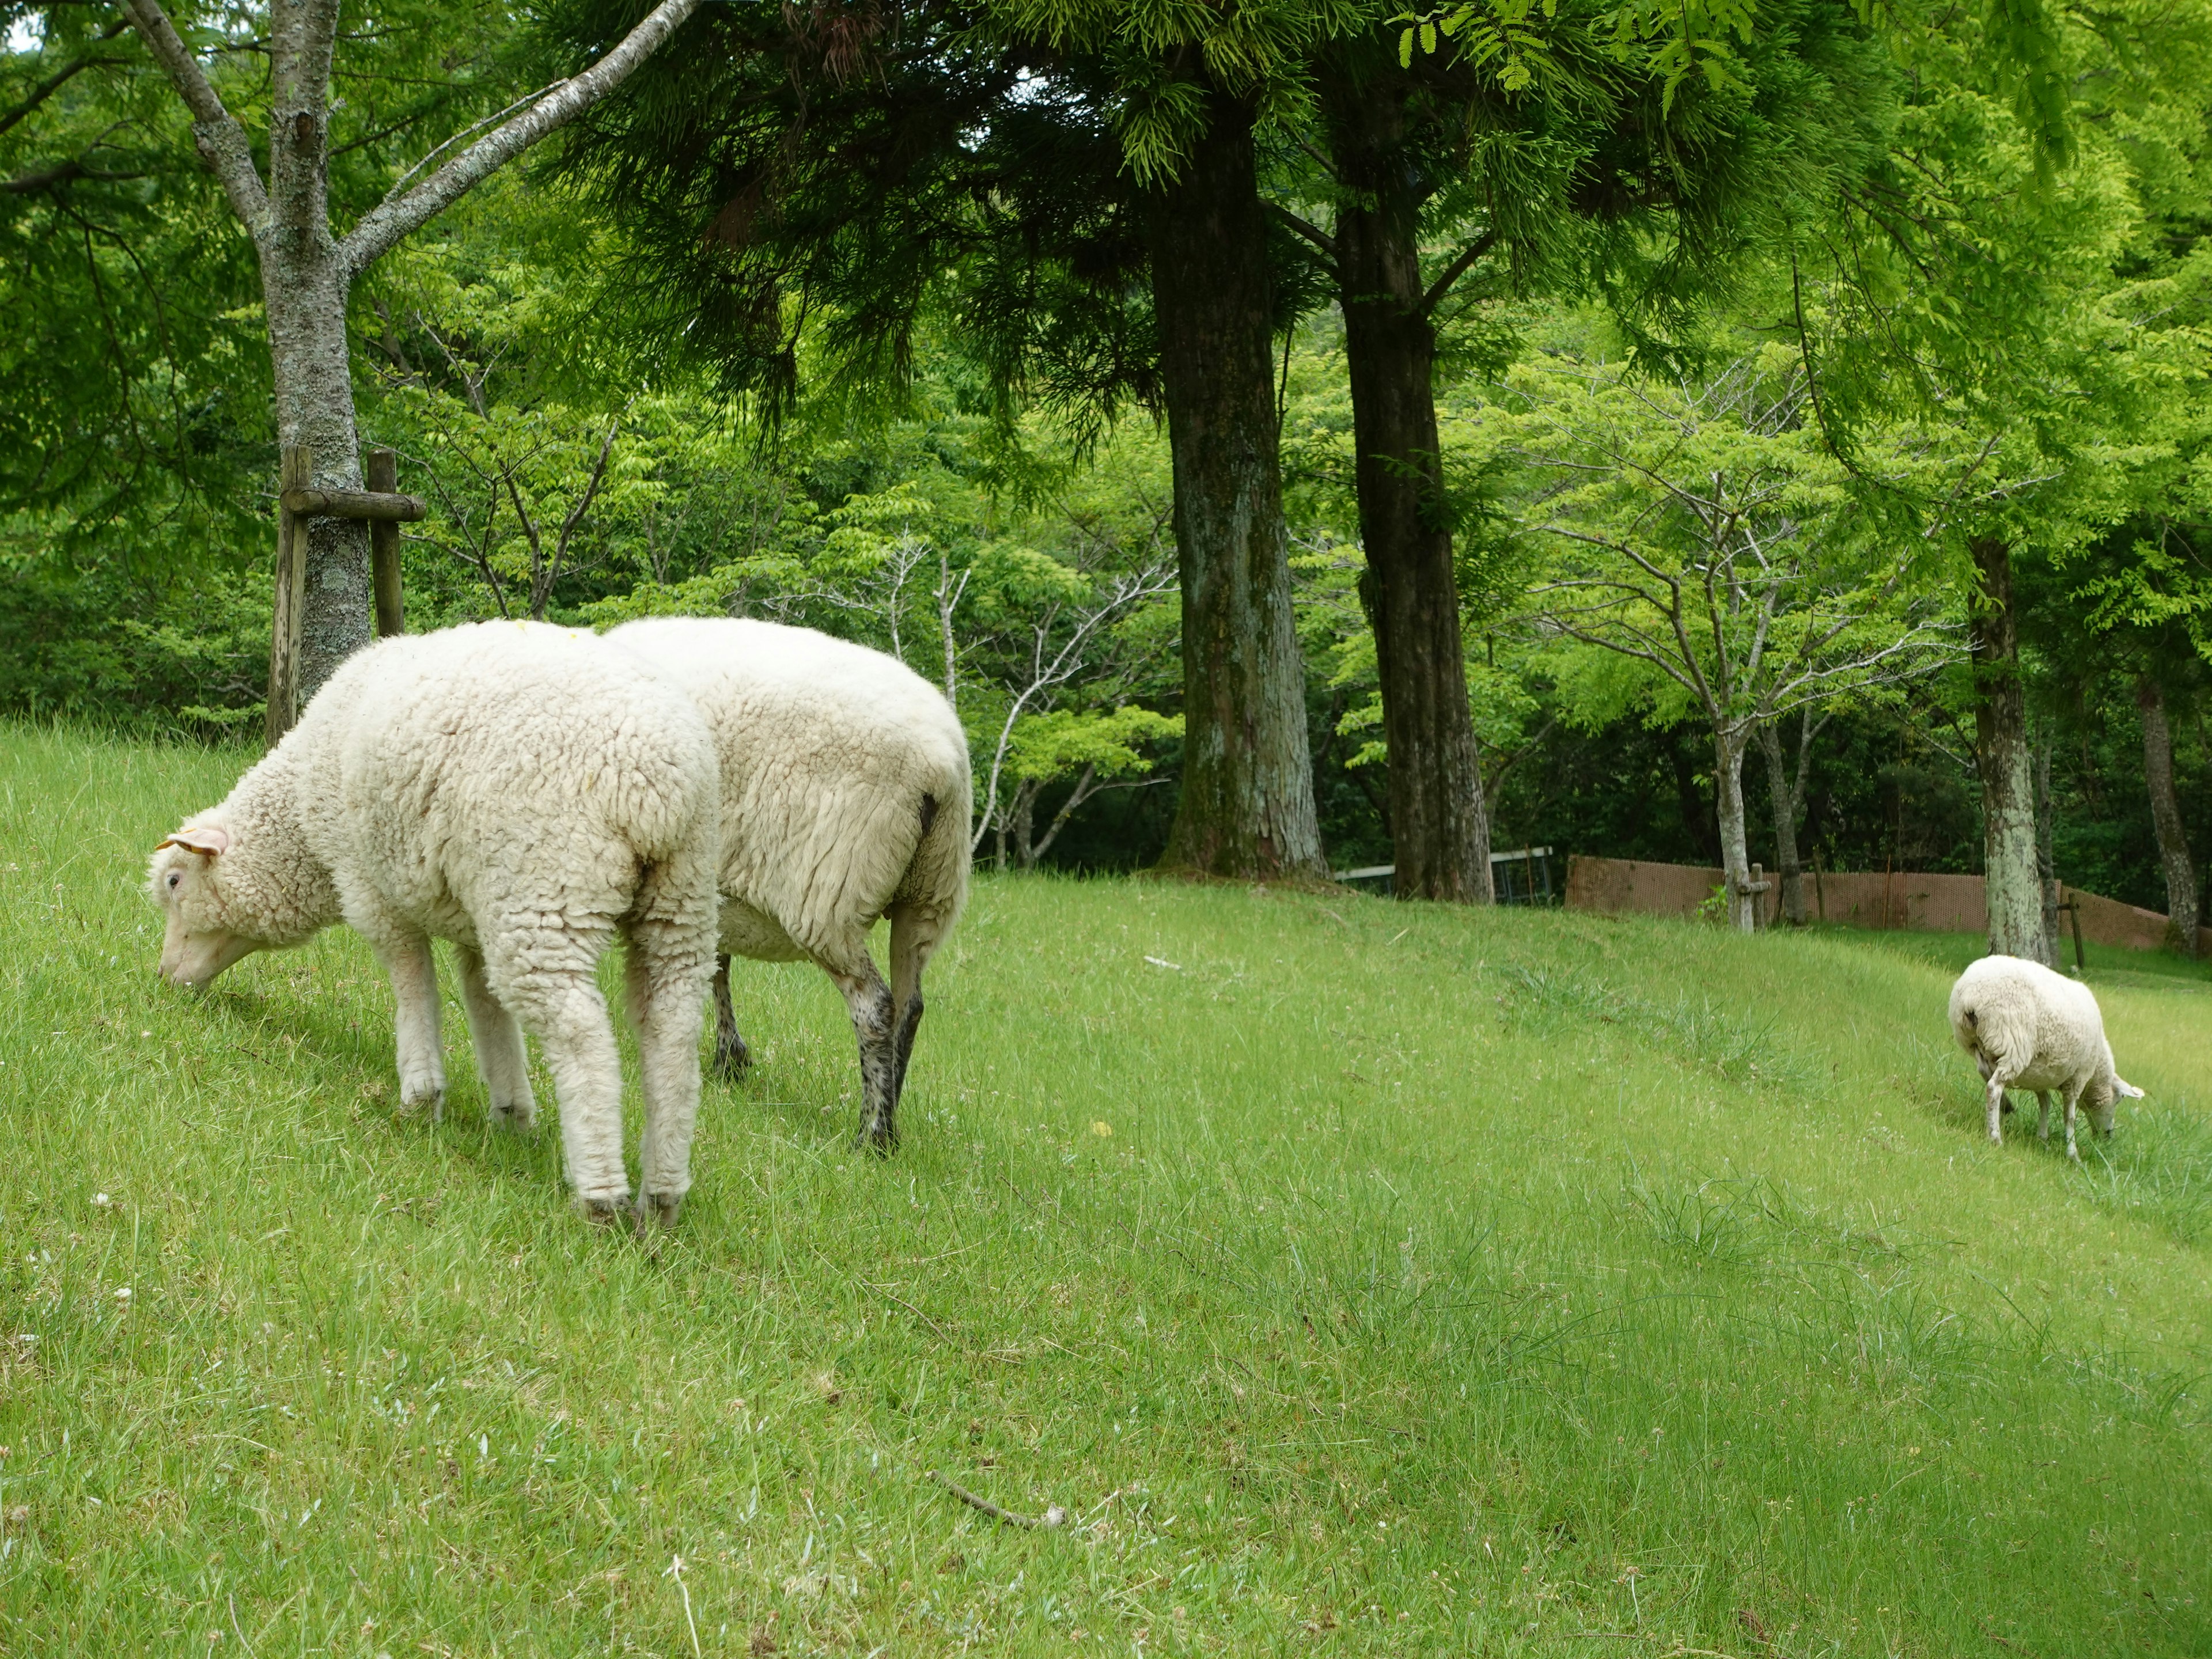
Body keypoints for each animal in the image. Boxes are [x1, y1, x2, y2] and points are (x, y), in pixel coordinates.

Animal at [147, 623, 717, 1238]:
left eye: (175, 882)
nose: (164, 978)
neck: (299, 818)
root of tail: (662, 779)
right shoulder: (475, 915)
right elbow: (484, 1002)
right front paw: (511, 1113)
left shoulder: (369, 885)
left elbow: (411, 981)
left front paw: (421, 1099)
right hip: (678, 900)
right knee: (672, 1032)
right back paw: (661, 1197)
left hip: (545, 882)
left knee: (580, 1033)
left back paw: (601, 1195)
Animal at [615, 619, 978, 1159]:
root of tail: (941, 765)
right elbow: (717, 964)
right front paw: (729, 1058)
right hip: (930, 893)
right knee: (911, 1008)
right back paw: (891, 1118)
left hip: (832, 892)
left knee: (875, 1006)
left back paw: (871, 1136)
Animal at [1955, 955, 2141, 1159]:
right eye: (2119, 1099)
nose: (2108, 1136)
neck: (2097, 1070)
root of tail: (1971, 996)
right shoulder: (2077, 1077)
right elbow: (2070, 1117)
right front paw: (2073, 1153)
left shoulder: (2041, 1073)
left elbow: (2045, 1103)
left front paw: (2043, 1138)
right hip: (2013, 1043)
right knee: (1993, 1088)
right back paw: (1996, 1136)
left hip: (1977, 1044)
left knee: (1985, 1073)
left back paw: (2006, 1107)